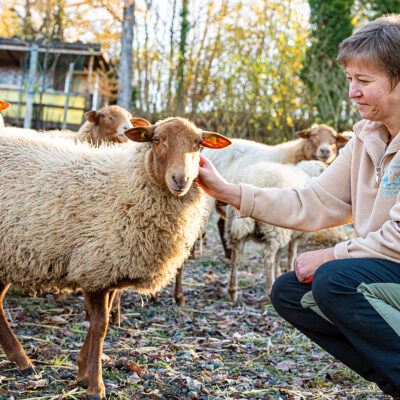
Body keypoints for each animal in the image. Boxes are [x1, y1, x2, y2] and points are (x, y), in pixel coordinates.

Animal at [0, 117, 231, 398]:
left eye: (198, 144)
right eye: (157, 139)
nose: (181, 179)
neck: (127, 183)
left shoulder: (108, 272)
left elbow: (101, 322)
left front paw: (82, 372)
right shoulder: (94, 266)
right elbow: (100, 326)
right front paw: (95, 385)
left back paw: (22, 361)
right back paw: (23, 361)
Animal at [223, 159, 326, 300]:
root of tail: (253, 180)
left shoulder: (287, 233)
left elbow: (279, 255)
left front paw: (278, 273)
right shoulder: (294, 236)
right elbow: (290, 254)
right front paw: (287, 270)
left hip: (235, 228)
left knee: (236, 257)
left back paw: (232, 292)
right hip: (274, 230)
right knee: (268, 257)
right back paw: (269, 289)